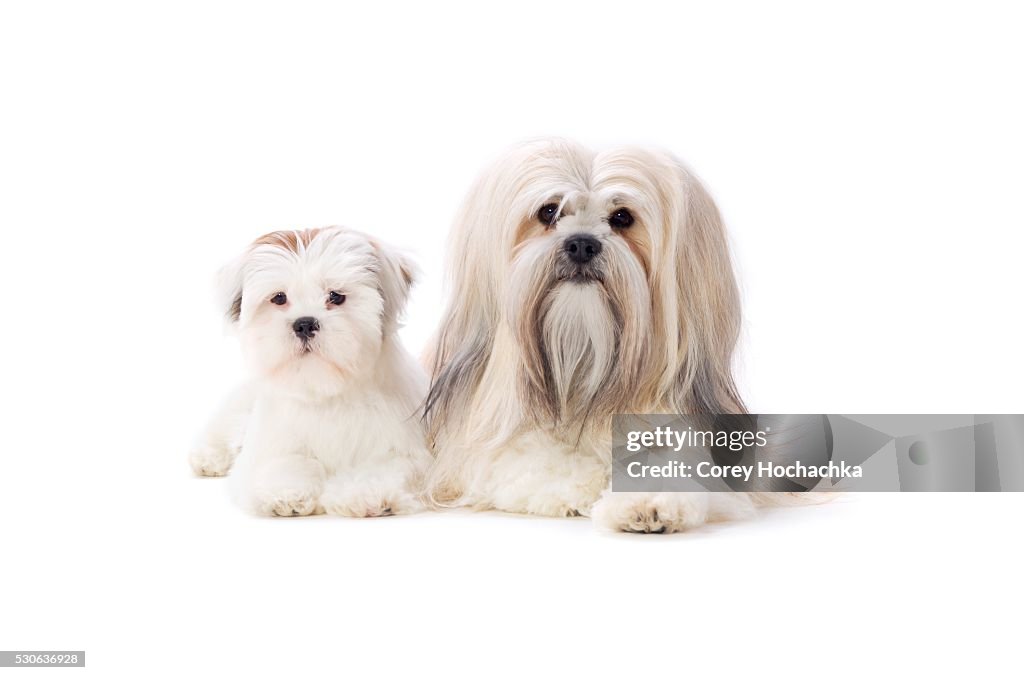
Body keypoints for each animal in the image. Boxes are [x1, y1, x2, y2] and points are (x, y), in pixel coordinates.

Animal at [189, 225, 432, 518]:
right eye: (279, 298)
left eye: (336, 296)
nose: (304, 323)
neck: (326, 390)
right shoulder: (273, 443)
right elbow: (285, 462)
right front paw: (285, 493)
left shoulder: (403, 447)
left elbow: (385, 466)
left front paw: (365, 493)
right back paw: (209, 457)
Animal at [421, 137, 774, 532]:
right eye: (548, 211)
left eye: (622, 217)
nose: (581, 244)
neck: (585, 373)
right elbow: (534, 459)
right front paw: (585, 485)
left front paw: (647, 503)